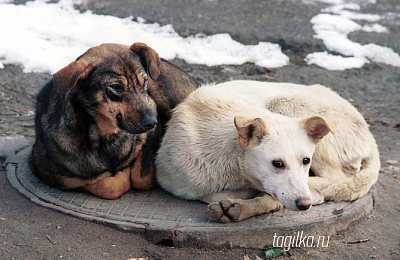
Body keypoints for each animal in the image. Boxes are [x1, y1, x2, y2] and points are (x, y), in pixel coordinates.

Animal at [30, 42, 198, 199]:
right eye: (116, 86)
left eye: (144, 82)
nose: (152, 122)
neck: (103, 138)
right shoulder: (56, 176)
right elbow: (107, 186)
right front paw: (122, 174)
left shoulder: (151, 113)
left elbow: (141, 178)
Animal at [155, 80, 380, 222]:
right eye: (277, 163)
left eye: (306, 161)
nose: (304, 204)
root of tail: (369, 134)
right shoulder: (174, 182)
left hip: (287, 104)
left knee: (336, 177)